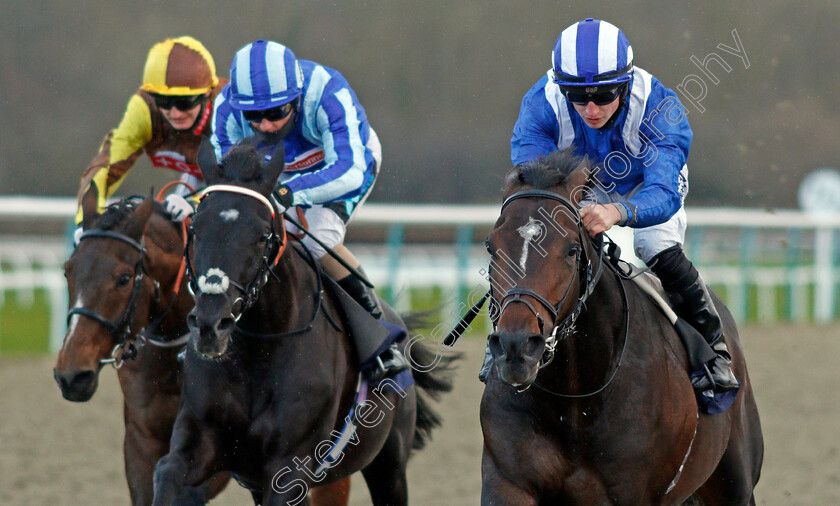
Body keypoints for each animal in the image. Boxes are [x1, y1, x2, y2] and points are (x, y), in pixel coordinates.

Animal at [151, 139, 452, 506]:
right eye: (194, 230)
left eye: (262, 235)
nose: (211, 324)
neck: (259, 352)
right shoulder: (202, 440)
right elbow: (166, 472)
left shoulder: (289, 466)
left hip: (389, 461)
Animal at [480, 151, 760, 506]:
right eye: (491, 246)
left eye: (572, 250)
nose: (516, 346)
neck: (575, 399)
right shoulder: (508, 480)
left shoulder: (634, 492)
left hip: (735, 480)